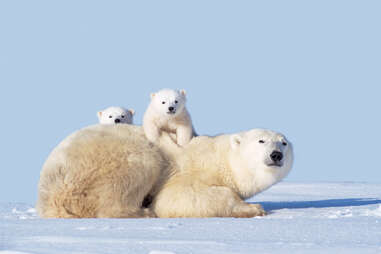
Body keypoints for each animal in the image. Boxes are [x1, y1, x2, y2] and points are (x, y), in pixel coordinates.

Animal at [152, 130, 294, 217]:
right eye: (261, 140)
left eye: (284, 143)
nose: (276, 155)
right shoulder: (188, 170)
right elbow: (174, 197)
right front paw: (255, 208)